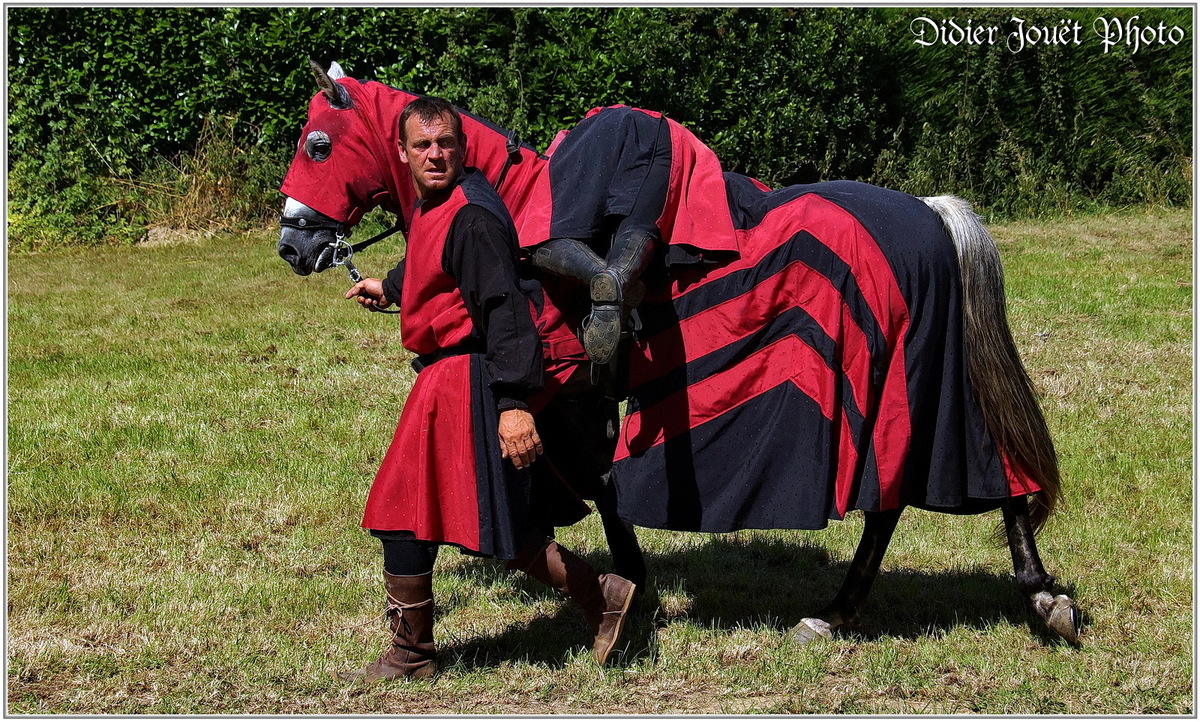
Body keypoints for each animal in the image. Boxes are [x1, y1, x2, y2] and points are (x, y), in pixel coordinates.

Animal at [278, 61, 1080, 642]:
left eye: (319, 144)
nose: (293, 242)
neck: (515, 204)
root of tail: (931, 215)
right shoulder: (572, 405)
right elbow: (600, 481)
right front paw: (628, 584)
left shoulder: (566, 394)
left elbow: (600, 482)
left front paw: (630, 586)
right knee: (912, 497)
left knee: (935, 491)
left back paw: (1007, 601)